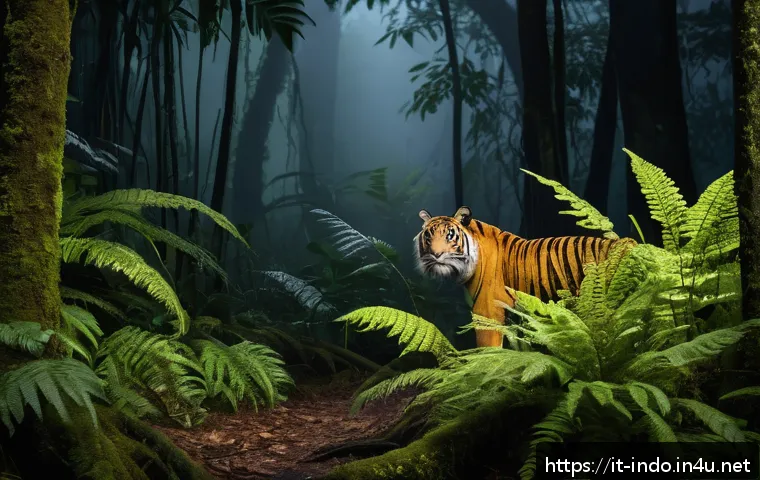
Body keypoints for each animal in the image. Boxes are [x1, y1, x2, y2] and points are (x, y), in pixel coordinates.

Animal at [414, 206, 637, 348]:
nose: (435, 254)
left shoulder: (487, 311)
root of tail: (627, 242)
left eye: (450, 235)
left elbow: (489, 349)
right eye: (428, 236)